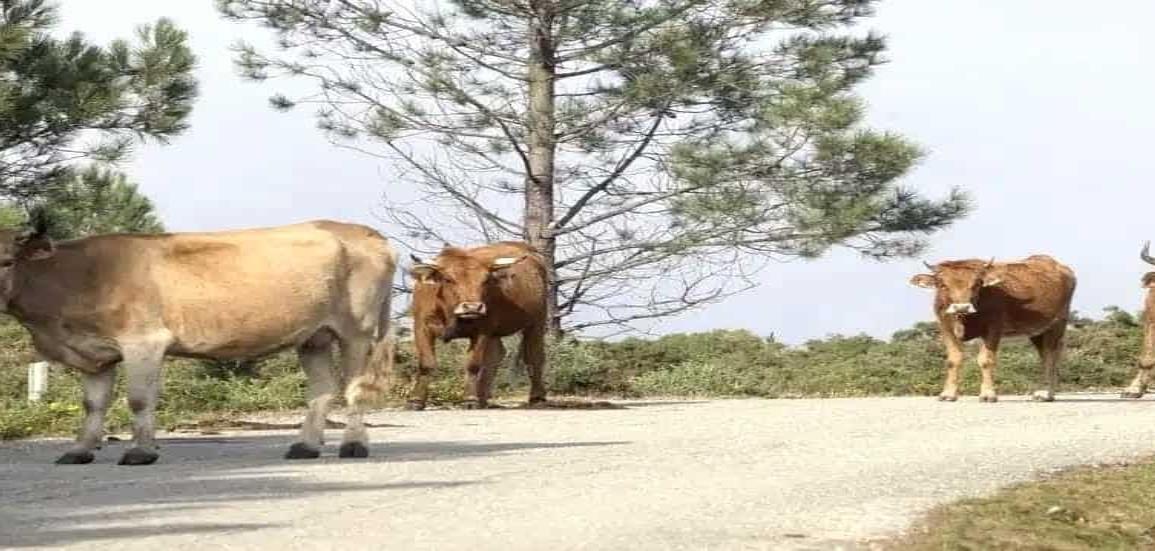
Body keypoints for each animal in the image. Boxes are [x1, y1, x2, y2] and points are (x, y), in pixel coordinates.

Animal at [0, 218, 397, 464]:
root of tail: (362, 231)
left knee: (354, 388)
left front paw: (141, 452)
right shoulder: (95, 354)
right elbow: (93, 405)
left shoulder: (144, 342)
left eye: (7, 261)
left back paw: (353, 445)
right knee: (322, 389)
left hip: (357, 329)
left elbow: (139, 400)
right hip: (313, 336)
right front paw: (80, 451)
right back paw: (305, 446)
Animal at [406, 240, 549, 408]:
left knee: (534, 357)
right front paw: (416, 400)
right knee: (496, 354)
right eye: (448, 279)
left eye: (485, 280)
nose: (473, 307)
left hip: (536, 322)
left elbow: (473, 364)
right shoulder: (422, 327)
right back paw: (482, 398)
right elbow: (426, 364)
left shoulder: (482, 330)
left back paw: (537, 397)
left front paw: (469, 398)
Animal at [910, 255, 1071, 401]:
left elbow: (986, 360)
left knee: (1050, 356)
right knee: (1044, 355)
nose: (962, 307)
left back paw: (1046, 393)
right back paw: (1046, 392)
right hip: (1037, 331)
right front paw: (948, 394)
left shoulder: (993, 328)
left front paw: (988, 394)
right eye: (942, 285)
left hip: (1057, 323)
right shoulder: (945, 328)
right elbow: (953, 359)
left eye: (976, 284)